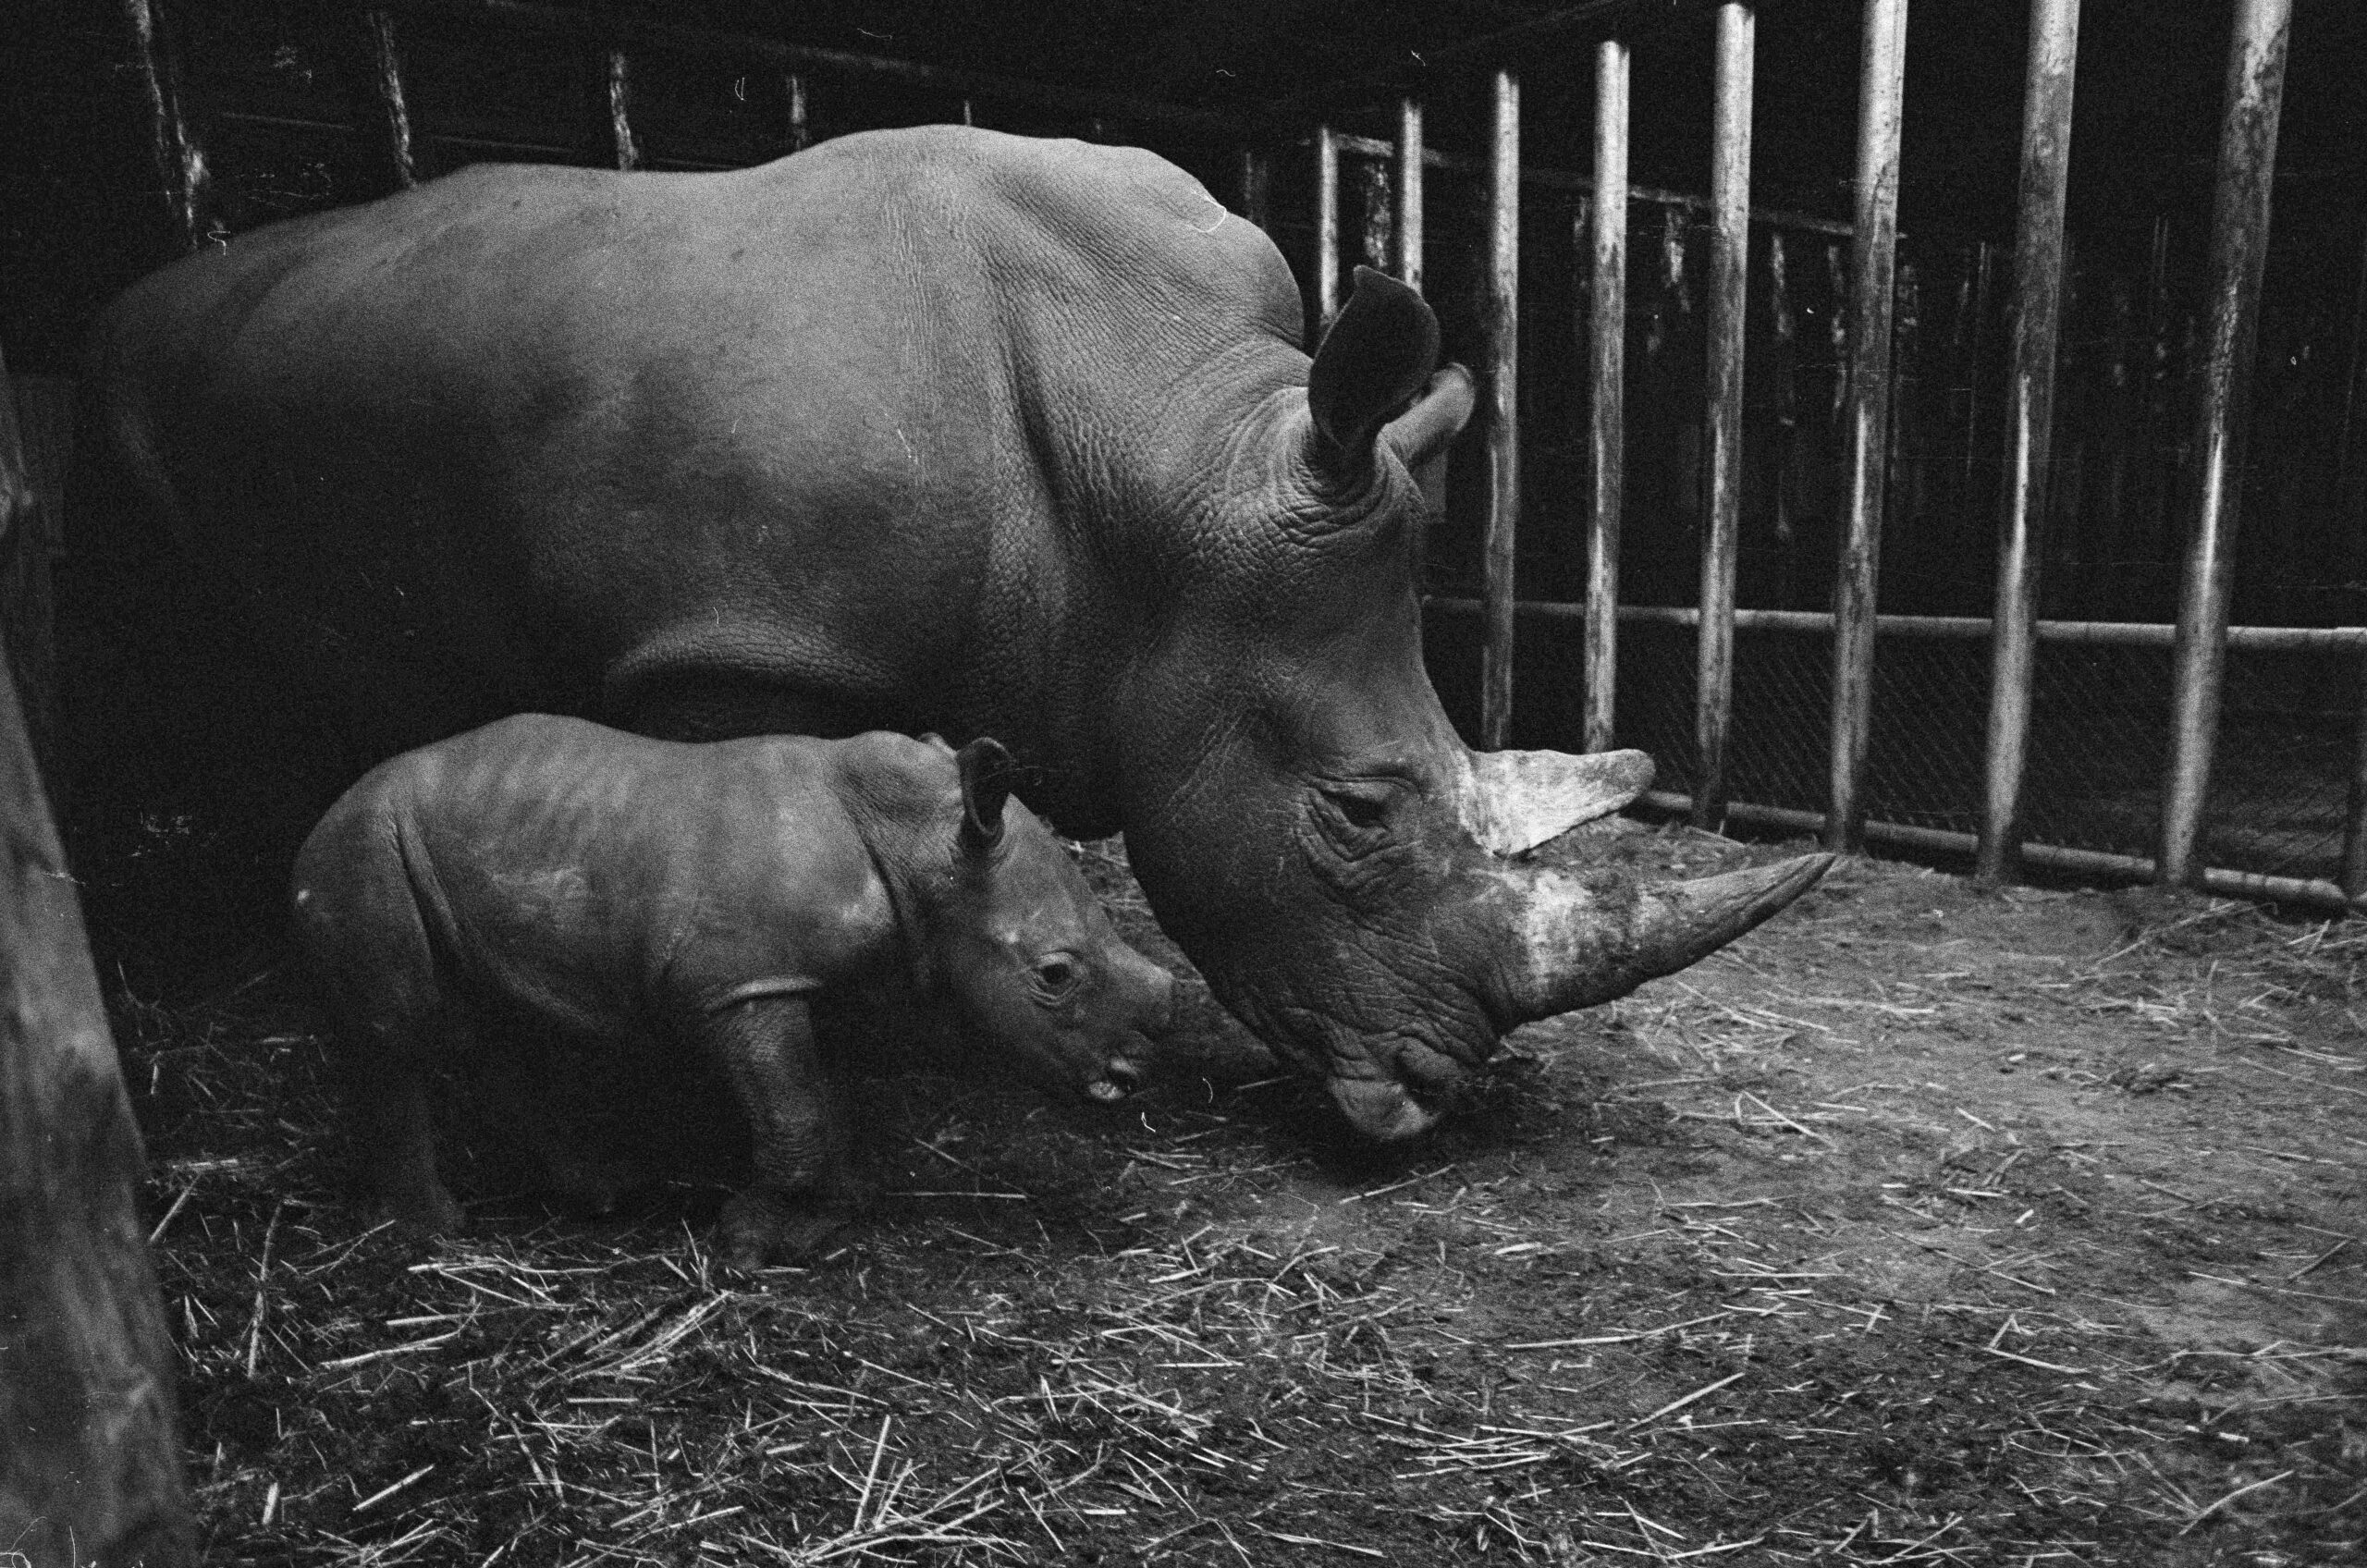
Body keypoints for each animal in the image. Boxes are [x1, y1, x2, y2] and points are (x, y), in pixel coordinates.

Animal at [293, 718, 1171, 1265]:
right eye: (1055, 976)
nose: (1127, 1078)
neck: (921, 844)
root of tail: (321, 816)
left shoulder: (819, 979)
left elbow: (824, 1098)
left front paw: (834, 1214)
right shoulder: (742, 985)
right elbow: (794, 1114)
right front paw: (745, 1242)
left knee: (504, 1025)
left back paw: (604, 1193)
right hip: (366, 849)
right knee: (394, 1033)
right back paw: (436, 1233)